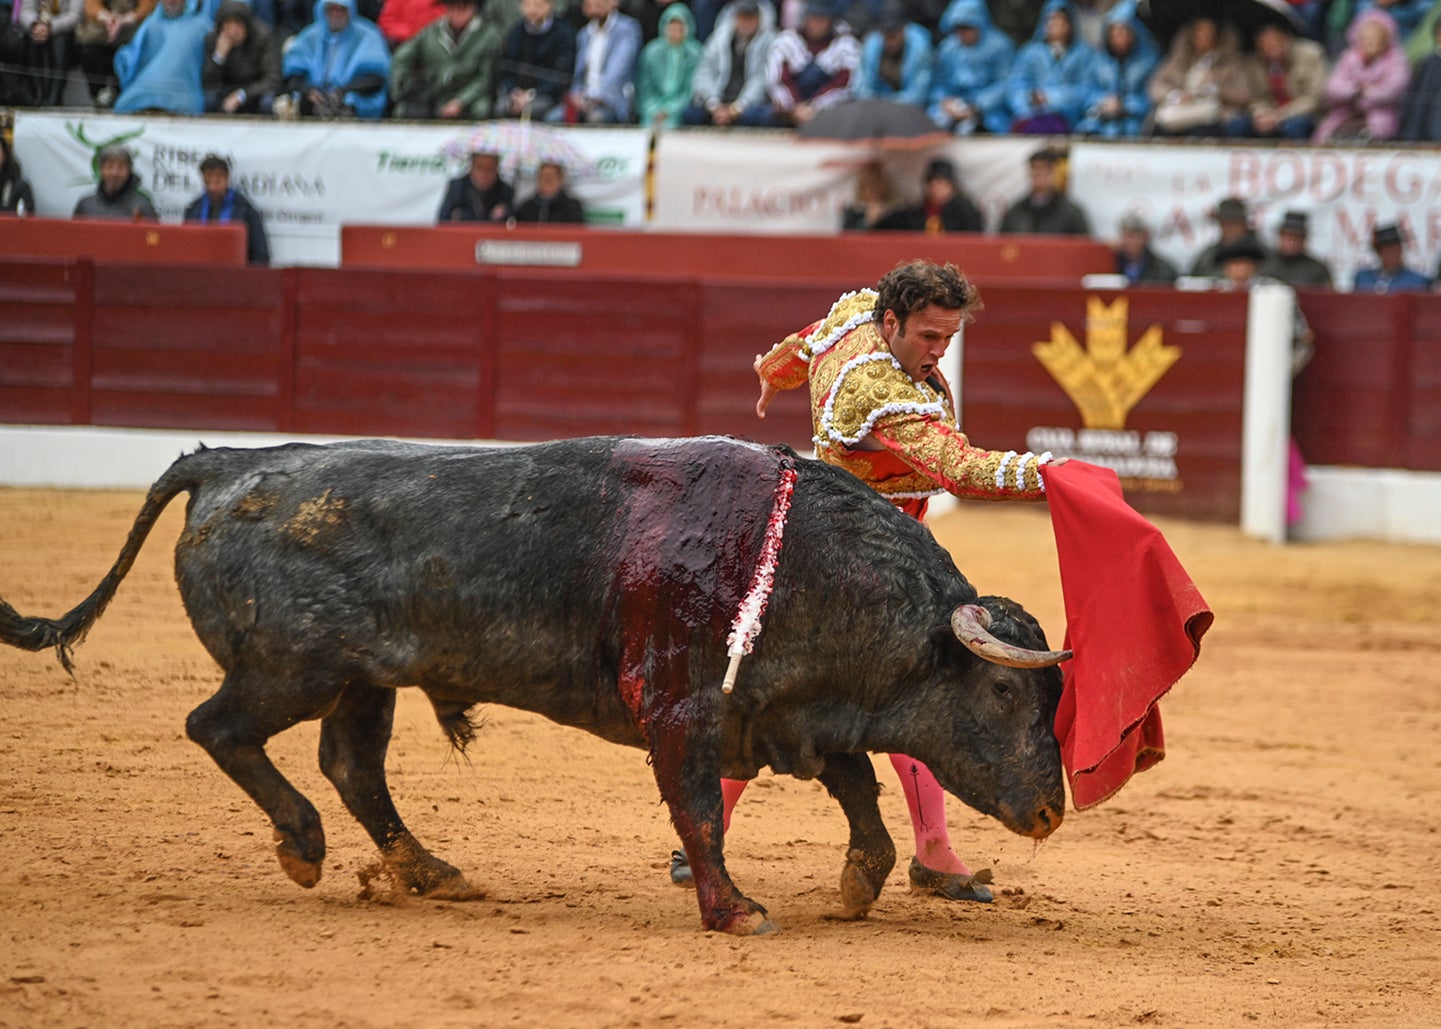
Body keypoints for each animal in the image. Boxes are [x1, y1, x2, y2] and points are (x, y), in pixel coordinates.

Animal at [0, 432, 1072, 928]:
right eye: (1006, 693)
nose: (1051, 811)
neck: (802, 558)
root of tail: (227, 462)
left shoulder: (787, 714)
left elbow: (860, 793)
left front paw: (853, 888)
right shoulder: (679, 705)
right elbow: (698, 807)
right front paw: (732, 908)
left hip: (361, 678)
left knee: (352, 763)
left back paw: (429, 870)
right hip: (287, 667)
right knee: (219, 727)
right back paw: (303, 846)